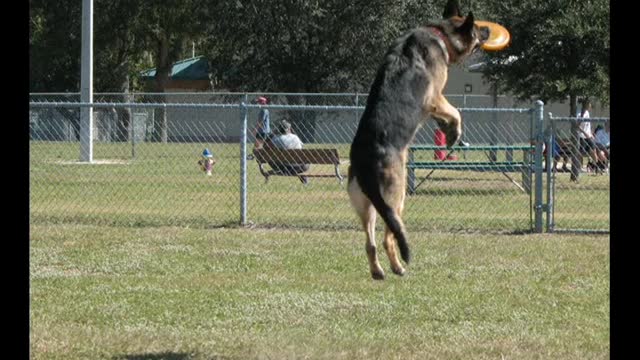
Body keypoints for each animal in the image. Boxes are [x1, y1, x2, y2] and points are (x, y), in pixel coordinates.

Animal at [348, 0, 488, 280]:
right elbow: (455, 112)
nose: (489, 31)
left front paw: (446, 129)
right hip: (396, 199)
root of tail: (363, 161)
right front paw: (454, 133)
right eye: (479, 29)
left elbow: (446, 116)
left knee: (370, 242)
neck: (440, 33)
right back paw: (398, 267)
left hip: (366, 206)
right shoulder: (434, 95)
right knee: (388, 238)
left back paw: (378, 271)